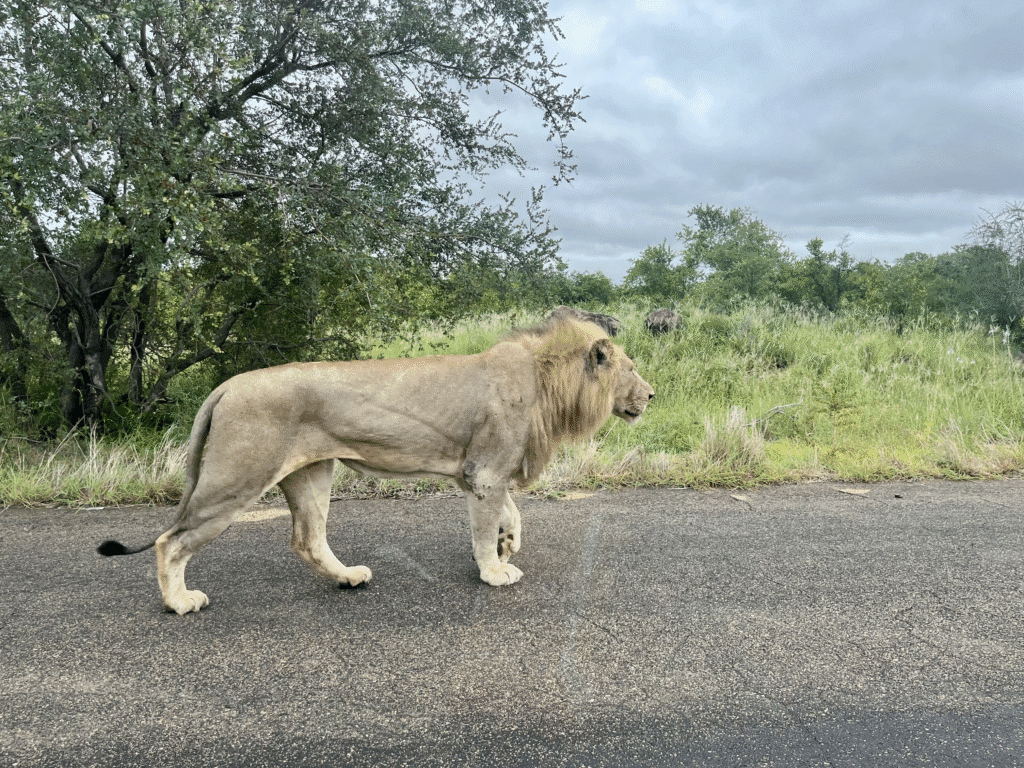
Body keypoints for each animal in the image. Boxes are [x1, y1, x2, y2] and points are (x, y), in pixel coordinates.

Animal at [98, 317, 654, 614]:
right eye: (630, 369)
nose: (651, 395)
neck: (546, 383)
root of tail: (228, 385)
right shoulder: (487, 471)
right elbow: (485, 528)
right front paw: (495, 571)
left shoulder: (478, 472)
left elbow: (512, 512)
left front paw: (508, 542)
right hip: (237, 476)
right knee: (171, 540)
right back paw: (180, 601)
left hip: (311, 473)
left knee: (307, 539)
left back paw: (348, 577)